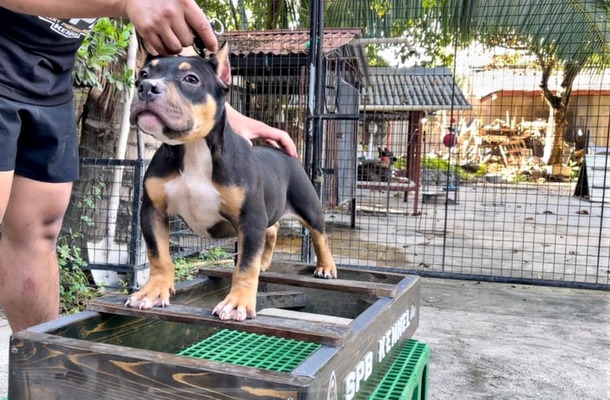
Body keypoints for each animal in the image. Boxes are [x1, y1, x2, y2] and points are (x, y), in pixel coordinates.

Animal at [125, 45, 334, 322]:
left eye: (191, 79)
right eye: (144, 74)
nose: (147, 87)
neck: (193, 148)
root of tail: (282, 152)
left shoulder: (250, 218)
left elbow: (245, 265)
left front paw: (238, 303)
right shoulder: (152, 211)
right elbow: (158, 254)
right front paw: (153, 291)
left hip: (307, 205)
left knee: (320, 236)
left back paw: (326, 266)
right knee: (272, 230)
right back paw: (265, 262)